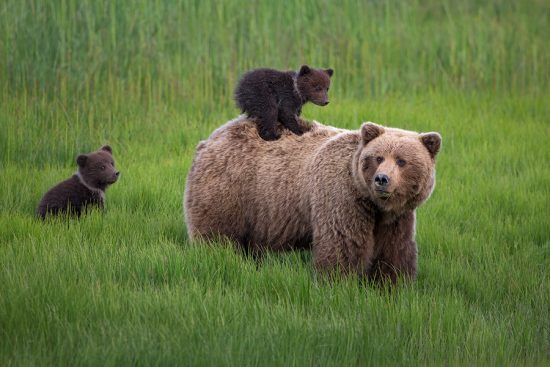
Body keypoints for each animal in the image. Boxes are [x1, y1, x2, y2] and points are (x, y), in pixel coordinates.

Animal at [185, 118, 444, 284]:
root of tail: (210, 139)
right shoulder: (342, 198)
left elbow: (394, 250)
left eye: (402, 161)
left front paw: (393, 284)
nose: (382, 179)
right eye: (378, 157)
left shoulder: (396, 218)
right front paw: (338, 283)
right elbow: (342, 245)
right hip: (231, 189)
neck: (373, 203)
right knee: (218, 235)